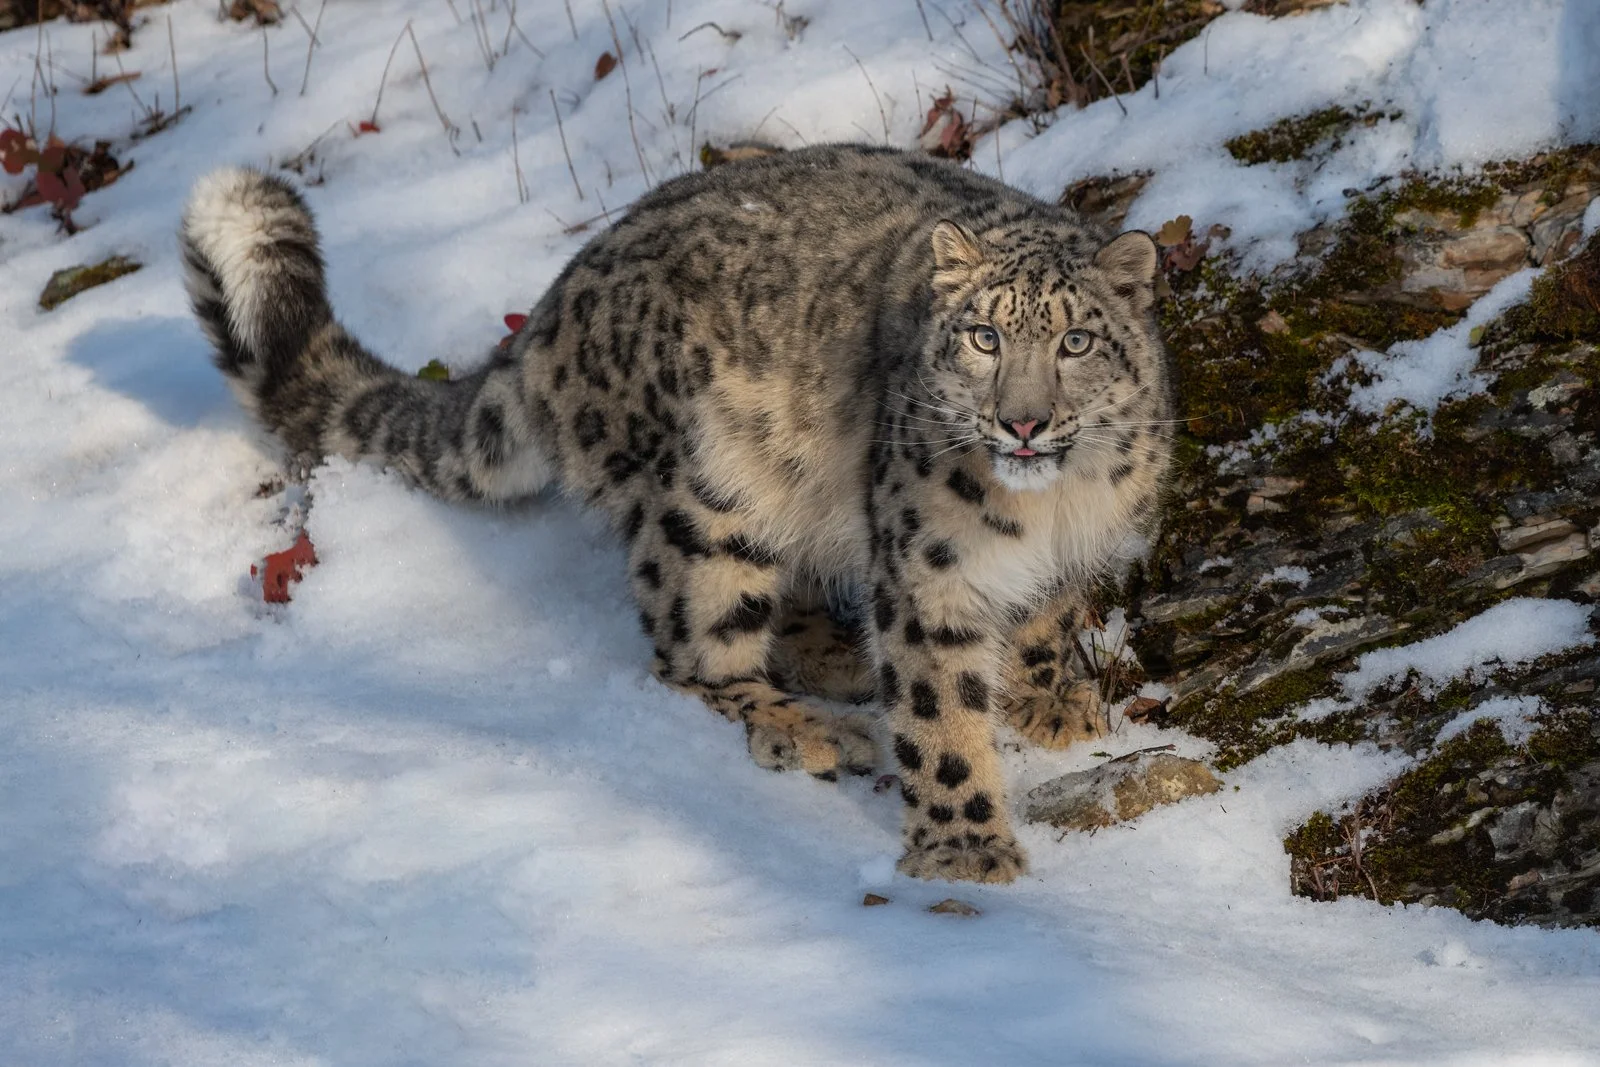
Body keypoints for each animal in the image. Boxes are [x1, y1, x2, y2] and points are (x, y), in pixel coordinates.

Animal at [180, 144, 1173, 883]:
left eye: (1075, 340)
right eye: (984, 336)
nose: (1022, 420)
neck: (1051, 505)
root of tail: (551, 309)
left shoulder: (1071, 549)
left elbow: (1046, 616)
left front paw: (1048, 703)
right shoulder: (929, 564)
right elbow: (939, 707)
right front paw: (967, 848)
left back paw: (833, 657)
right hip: (708, 500)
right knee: (686, 655)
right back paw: (805, 723)